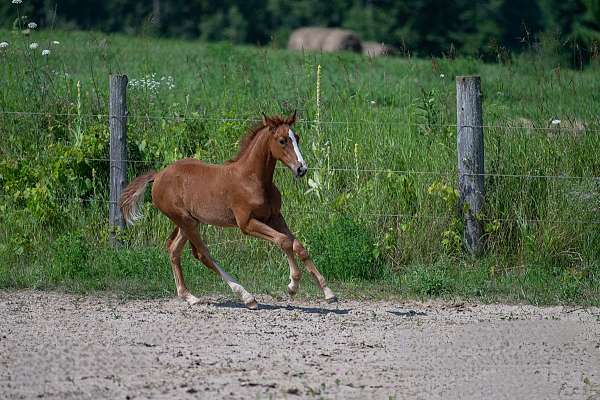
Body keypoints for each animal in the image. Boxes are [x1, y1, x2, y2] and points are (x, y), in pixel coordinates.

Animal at [120, 112, 338, 310]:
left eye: (297, 137)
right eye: (282, 140)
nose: (302, 169)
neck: (253, 179)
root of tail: (157, 176)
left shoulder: (274, 217)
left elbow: (297, 245)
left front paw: (328, 292)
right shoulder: (247, 224)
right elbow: (283, 241)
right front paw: (293, 285)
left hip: (189, 221)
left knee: (174, 250)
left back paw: (190, 297)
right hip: (185, 221)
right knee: (203, 254)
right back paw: (247, 297)